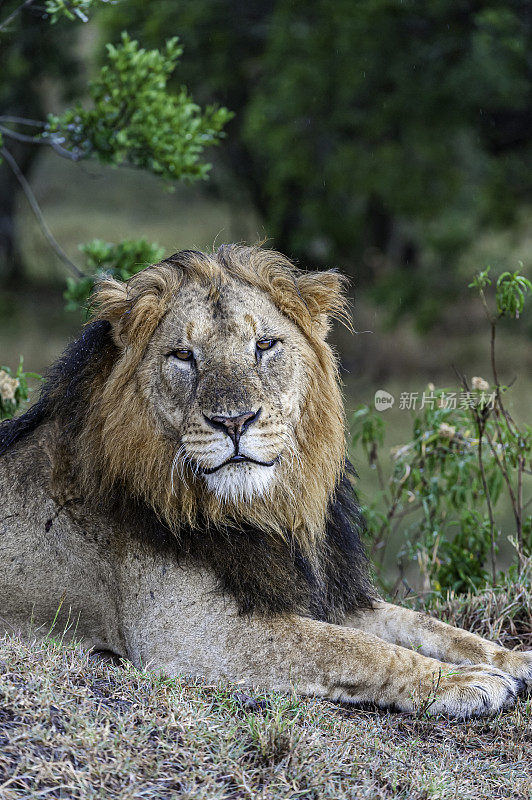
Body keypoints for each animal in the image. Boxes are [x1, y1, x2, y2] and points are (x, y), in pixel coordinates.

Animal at [1, 245, 532, 720]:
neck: (263, 510)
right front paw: (464, 682)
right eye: (183, 355)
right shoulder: (189, 633)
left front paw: (513, 660)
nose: (234, 421)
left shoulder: (322, 590)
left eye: (264, 345)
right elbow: (352, 648)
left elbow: (427, 625)